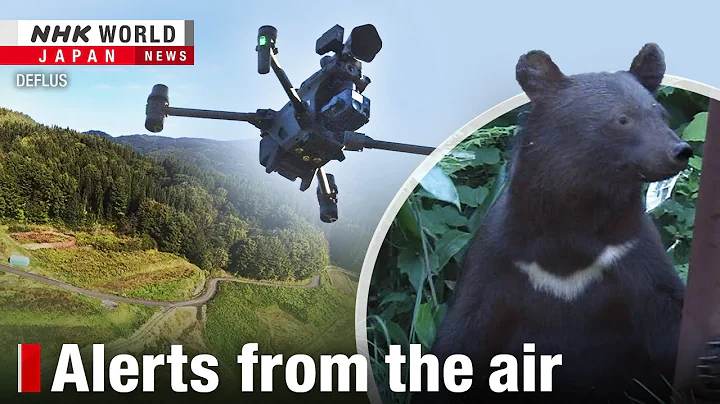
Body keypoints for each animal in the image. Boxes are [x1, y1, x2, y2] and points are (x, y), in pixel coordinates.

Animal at [413, 43, 720, 403]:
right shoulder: (497, 257)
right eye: (622, 118)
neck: (575, 216)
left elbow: (671, 318)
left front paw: (712, 361)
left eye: (661, 114)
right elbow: (462, 335)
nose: (680, 150)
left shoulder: (631, 251)